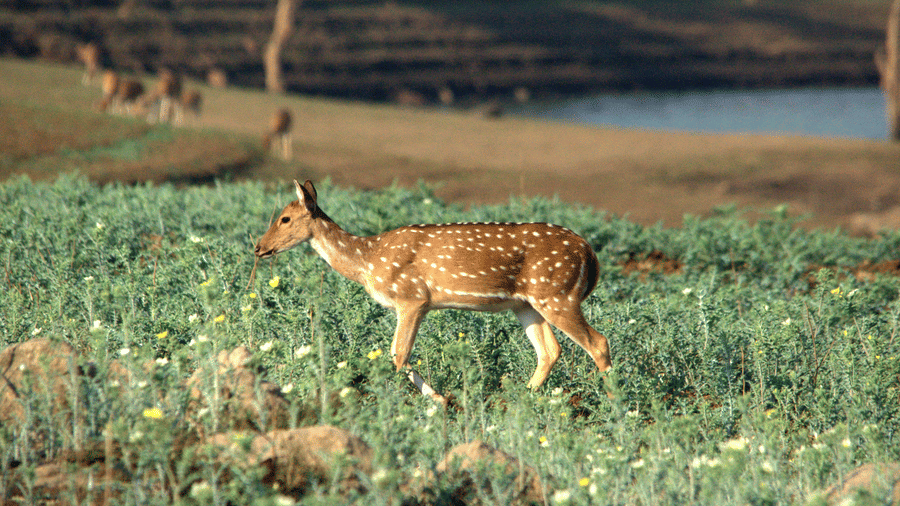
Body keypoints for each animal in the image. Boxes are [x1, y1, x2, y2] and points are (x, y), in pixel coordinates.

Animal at [254, 180, 613, 403]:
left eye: (285, 218)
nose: (258, 247)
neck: (368, 259)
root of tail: (589, 252)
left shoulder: (412, 297)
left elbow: (398, 354)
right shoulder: (419, 305)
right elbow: (402, 354)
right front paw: (440, 399)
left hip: (558, 293)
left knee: (597, 342)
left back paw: (615, 401)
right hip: (526, 304)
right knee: (550, 350)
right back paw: (520, 398)